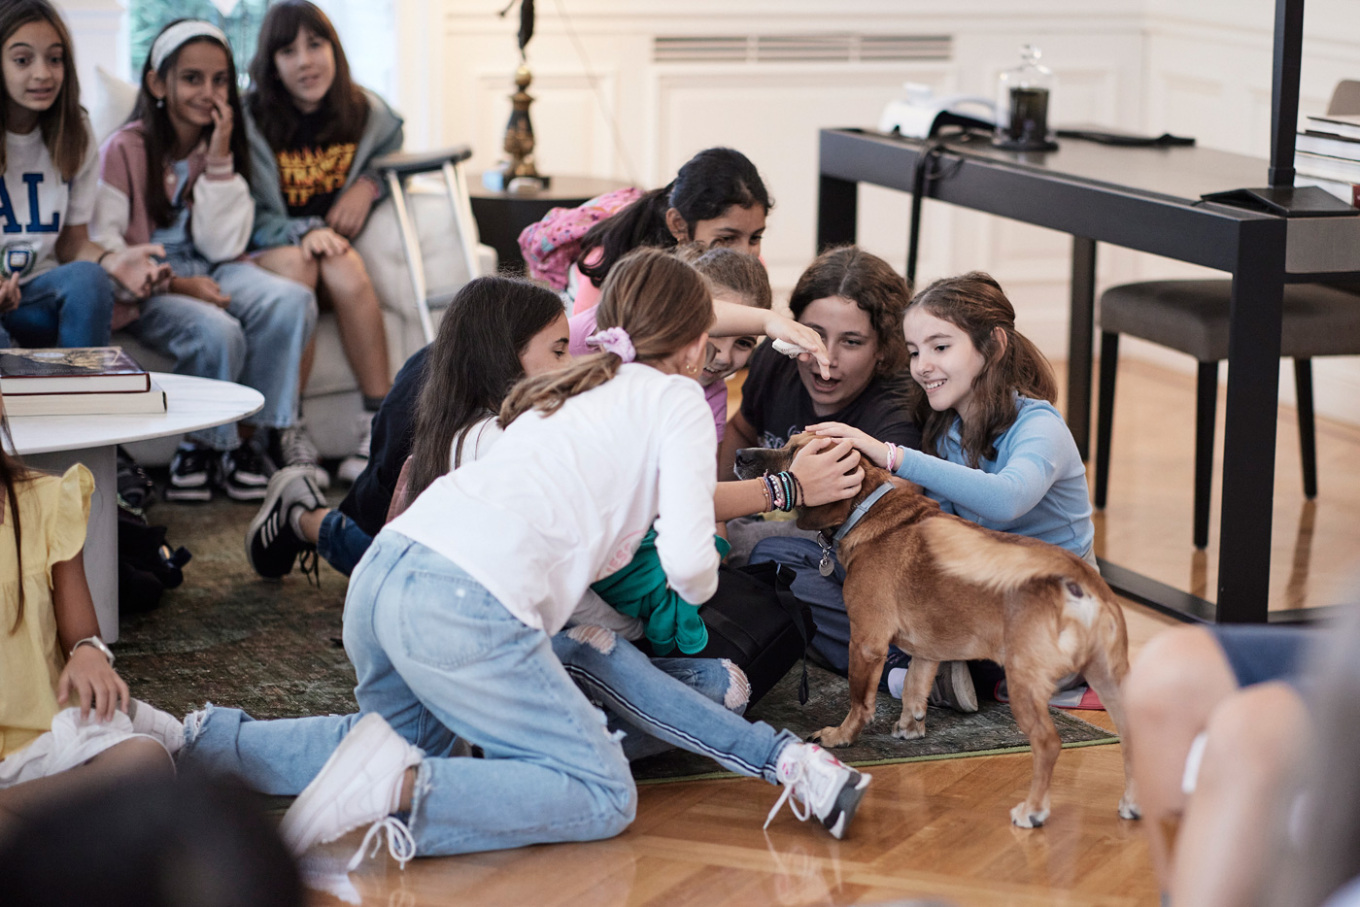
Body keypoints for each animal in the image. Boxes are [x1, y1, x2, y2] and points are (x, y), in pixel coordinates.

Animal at [734, 435, 1136, 832]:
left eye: (793, 452)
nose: (738, 455)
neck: (868, 508)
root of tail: (1078, 578)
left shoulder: (865, 643)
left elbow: (859, 701)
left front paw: (841, 736)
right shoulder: (927, 652)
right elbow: (914, 689)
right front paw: (910, 728)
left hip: (1024, 683)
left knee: (1049, 744)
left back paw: (1033, 810)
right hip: (1109, 680)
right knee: (1130, 736)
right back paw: (1130, 803)